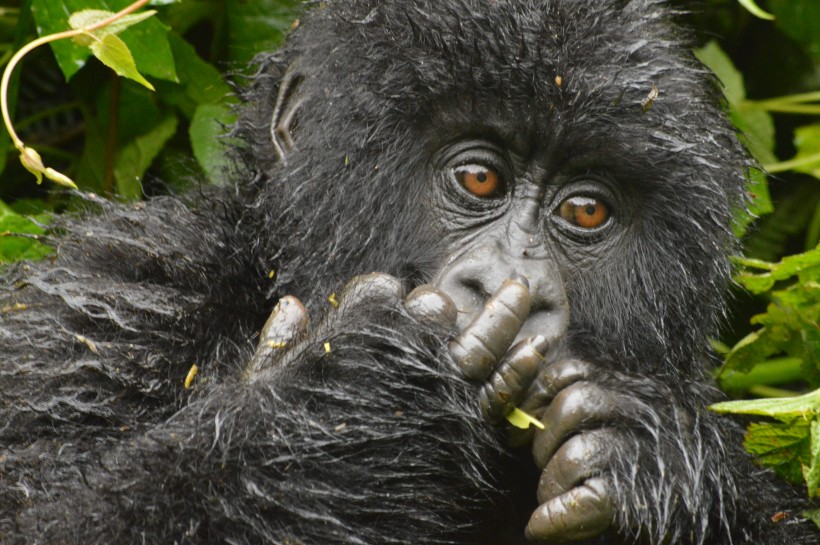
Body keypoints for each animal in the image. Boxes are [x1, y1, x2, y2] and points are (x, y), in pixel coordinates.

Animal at [1, 1, 820, 544]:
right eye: (480, 179)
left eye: (586, 210)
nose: (515, 291)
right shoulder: (123, 292)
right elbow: (46, 516)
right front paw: (358, 395)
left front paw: (651, 457)